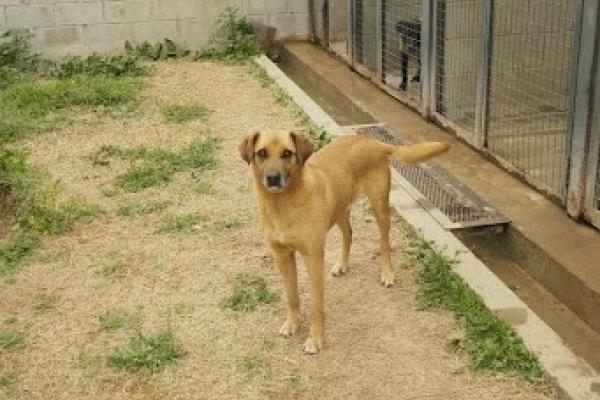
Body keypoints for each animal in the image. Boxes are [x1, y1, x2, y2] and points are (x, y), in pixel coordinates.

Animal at [239, 129, 450, 354]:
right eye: (261, 153)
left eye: (287, 153)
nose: (273, 178)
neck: (283, 203)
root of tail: (372, 141)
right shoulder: (282, 256)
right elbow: (292, 296)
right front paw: (292, 324)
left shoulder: (313, 257)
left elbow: (316, 304)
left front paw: (315, 339)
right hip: (340, 207)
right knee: (349, 233)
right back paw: (342, 264)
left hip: (380, 207)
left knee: (384, 243)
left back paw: (387, 273)